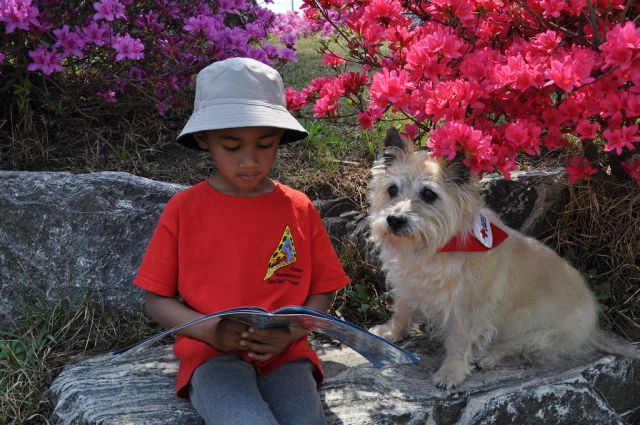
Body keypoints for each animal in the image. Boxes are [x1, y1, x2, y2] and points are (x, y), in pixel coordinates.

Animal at [368, 128, 636, 388]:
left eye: (428, 194)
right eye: (392, 189)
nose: (395, 220)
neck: (433, 248)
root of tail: (592, 327)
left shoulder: (468, 308)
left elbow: (459, 341)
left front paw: (451, 371)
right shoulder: (406, 285)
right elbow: (402, 310)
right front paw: (391, 332)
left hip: (543, 335)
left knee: (518, 347)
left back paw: (489, 356)